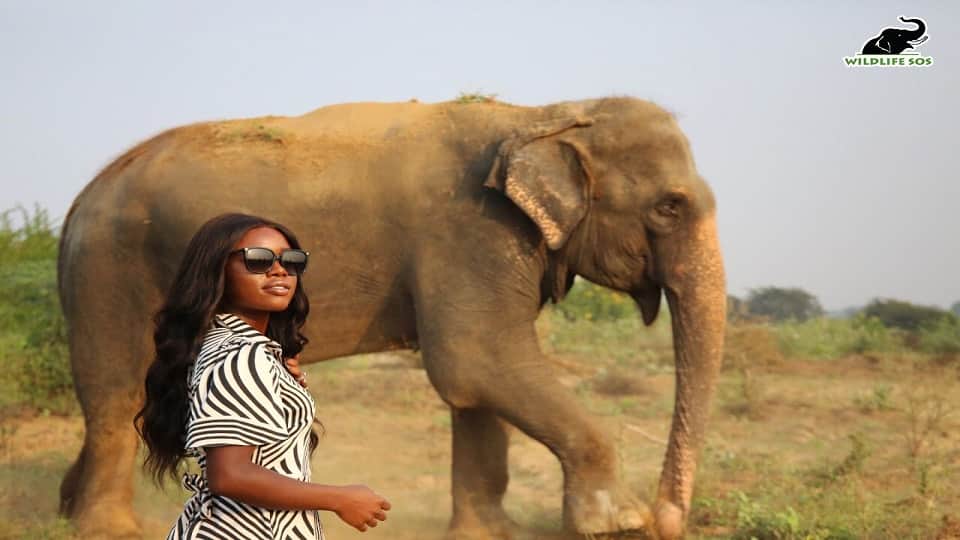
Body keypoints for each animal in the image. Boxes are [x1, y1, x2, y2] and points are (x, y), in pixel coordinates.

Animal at [57, 97, 726, 540]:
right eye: (669, 206)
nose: (671, 519)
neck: (544, 114)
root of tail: (81, 197)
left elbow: (473, 385)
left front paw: (491, 533)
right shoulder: (470, 231)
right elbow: (476, 359)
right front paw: (620, 523)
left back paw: (66, 506)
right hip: (109, 273)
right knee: (117, 396)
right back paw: (113, 530)